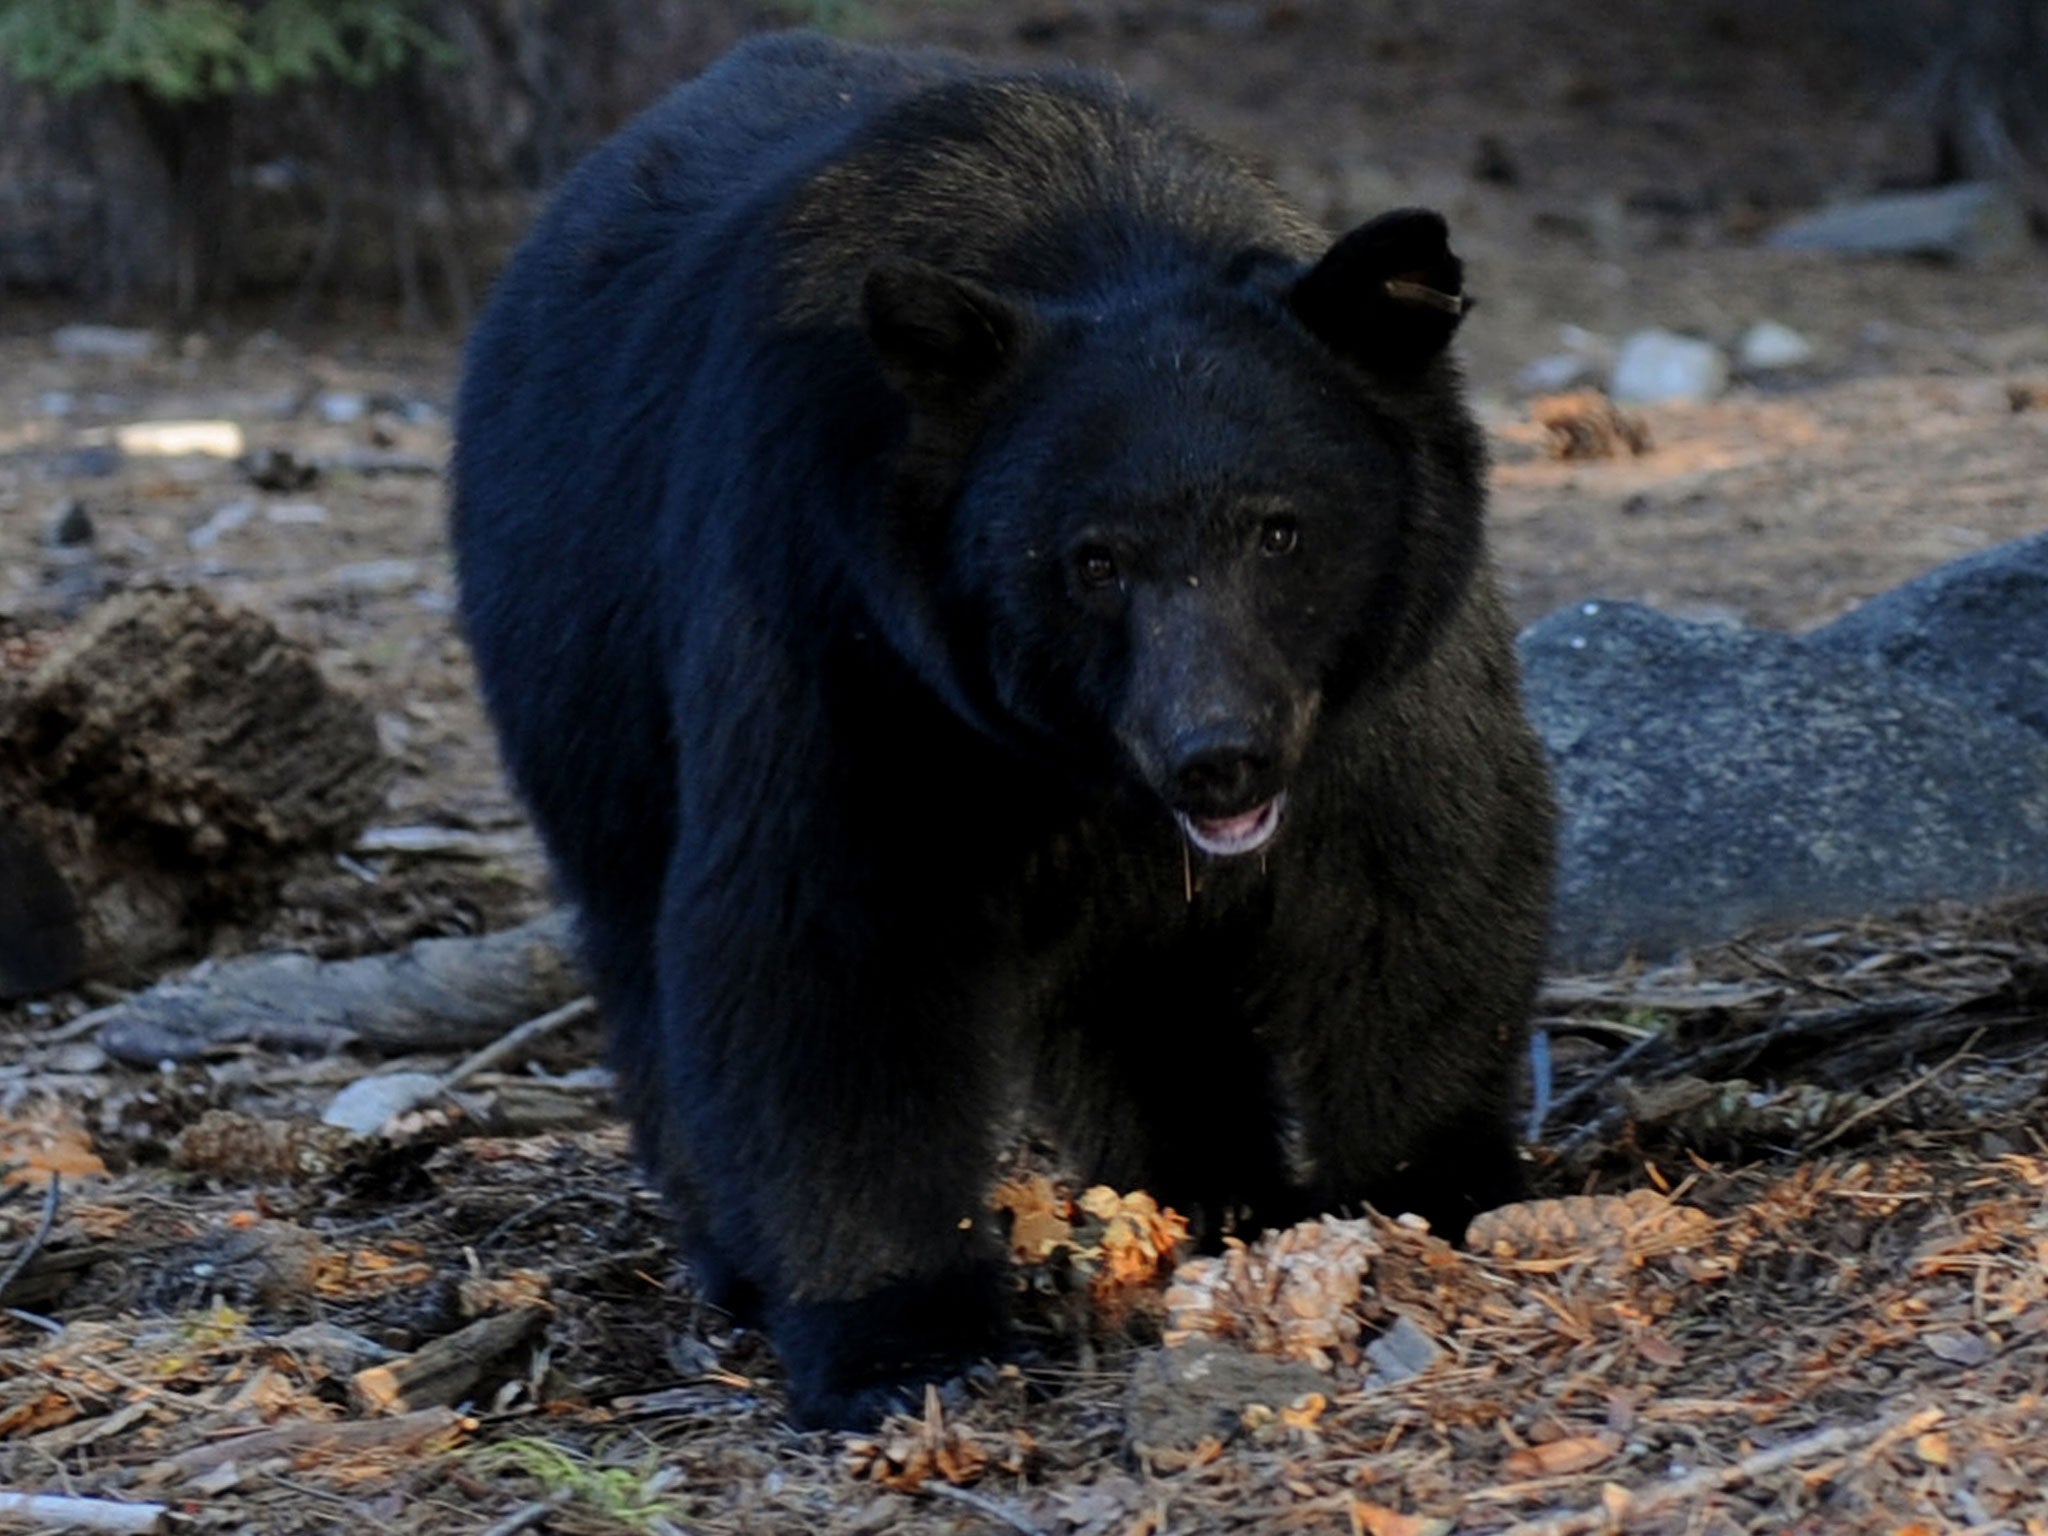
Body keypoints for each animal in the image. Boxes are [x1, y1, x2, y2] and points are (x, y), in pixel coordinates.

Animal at [456, 33, 1556, 1433]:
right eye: (1092, 559)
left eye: (1280, 528)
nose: (1218, 755)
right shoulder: (846, 630)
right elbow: (830, 942)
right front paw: (901, 1338)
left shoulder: (1380, 678)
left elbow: (1417, 875)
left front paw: (1430, 1194)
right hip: (579, 678)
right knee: (644, 949)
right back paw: (737, 1256)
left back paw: (1204, 1188)